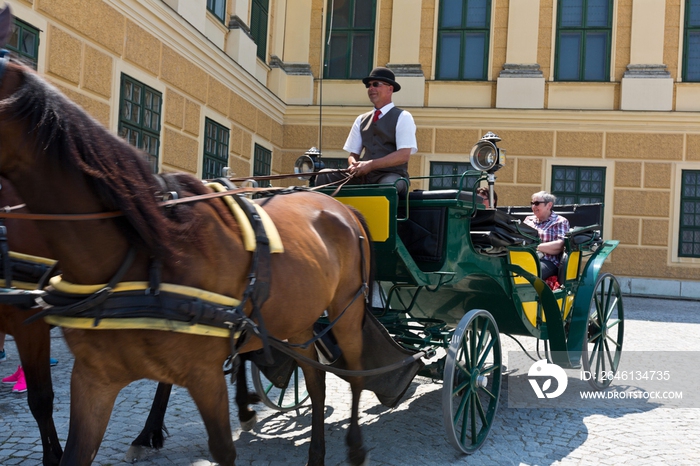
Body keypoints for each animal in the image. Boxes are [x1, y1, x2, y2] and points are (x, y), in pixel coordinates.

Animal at [0, 5, 372, 464]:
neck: (138, 259)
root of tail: (342, 206)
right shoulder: (93, 380)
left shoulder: (202, 374)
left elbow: (222, 448)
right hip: (301, 322)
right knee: (315, 381)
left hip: (347, 312)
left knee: (354, 372)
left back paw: (351, 444)